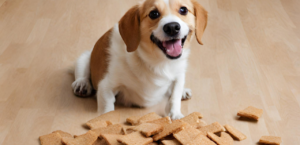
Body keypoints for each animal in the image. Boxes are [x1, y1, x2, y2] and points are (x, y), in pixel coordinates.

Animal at [71, 0, 206, 119]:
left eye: (183, 10)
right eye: (153, 13)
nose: (172, 27)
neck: (157, 62)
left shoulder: (179, 75)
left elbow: (174, 96)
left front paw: (175, 114)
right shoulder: (106, 86)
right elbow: (107, 109)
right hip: (84, 57)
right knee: (82, 74)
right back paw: (82, 84)